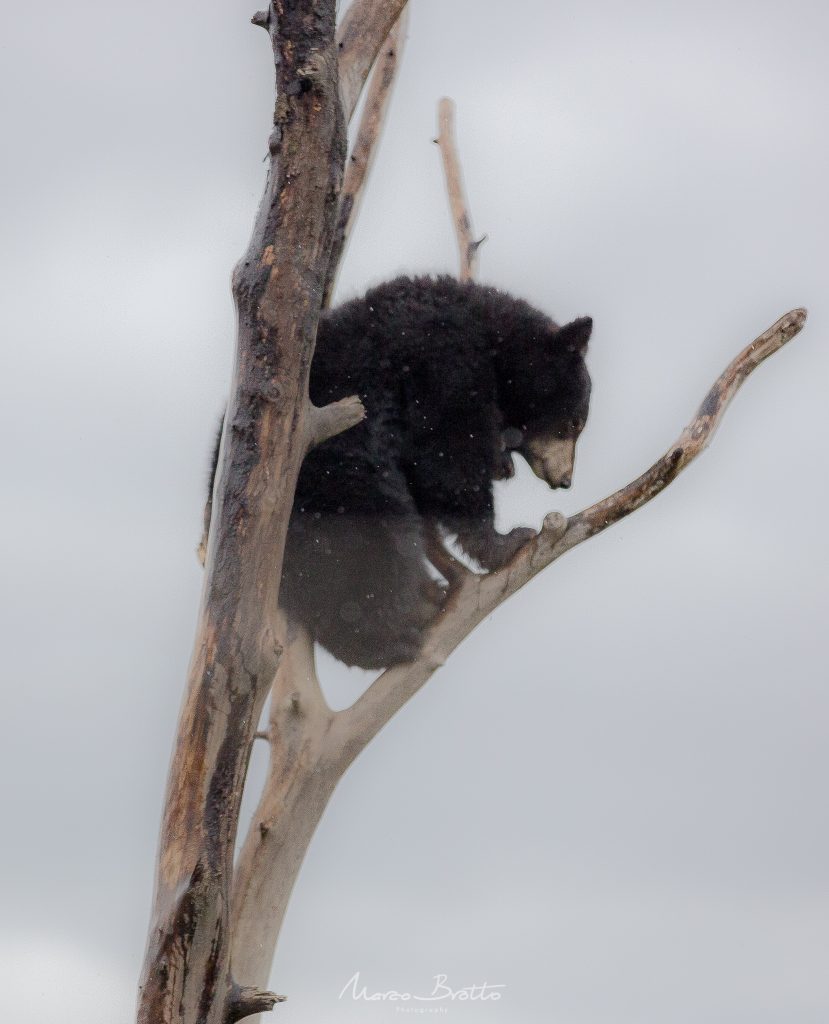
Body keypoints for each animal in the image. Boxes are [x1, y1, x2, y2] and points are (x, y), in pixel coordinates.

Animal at [207, 275, 592, 669]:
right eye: (574, 423)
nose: (564, 481)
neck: (489, 334)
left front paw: (503, 465)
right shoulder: (442, 360)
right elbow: (449, 452)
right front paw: (505, 540)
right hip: (333, 483)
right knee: (368, 548)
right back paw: (393, 637)